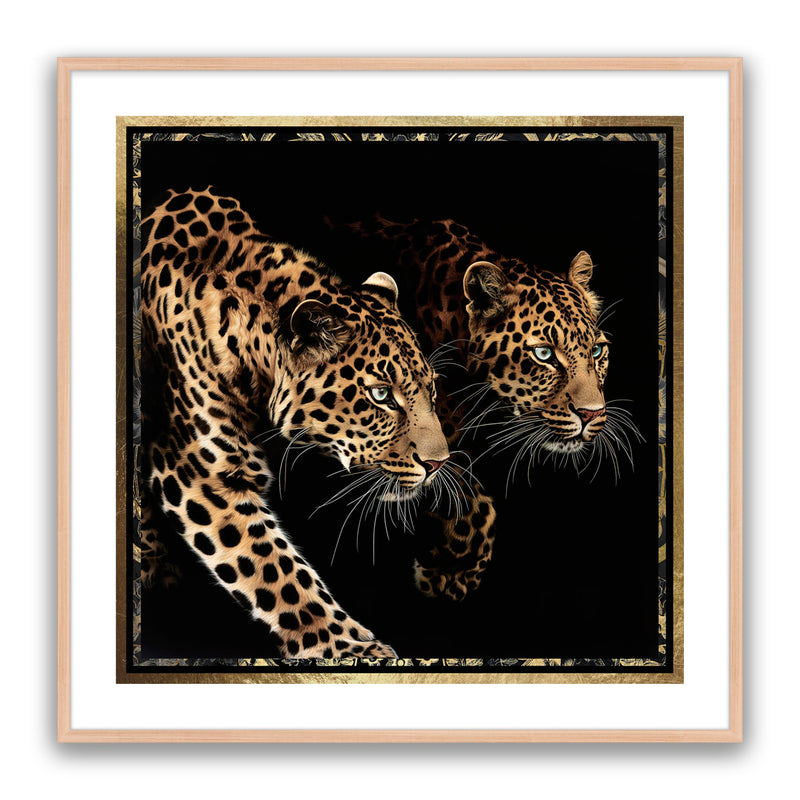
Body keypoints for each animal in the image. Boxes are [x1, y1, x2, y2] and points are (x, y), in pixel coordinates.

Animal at [138, 189, 450, 659]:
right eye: (381, 395)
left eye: (430, 388)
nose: (440, 464)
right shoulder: (199, 472)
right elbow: (276, 572)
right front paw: (350, 648)